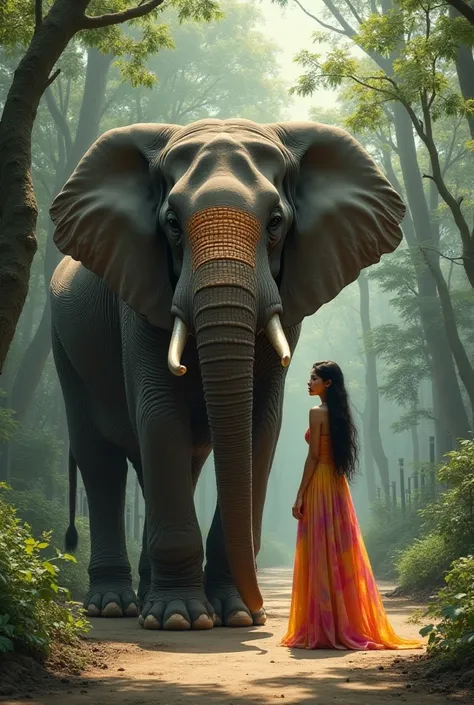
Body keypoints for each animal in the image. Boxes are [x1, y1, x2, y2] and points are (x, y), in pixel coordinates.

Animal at [47, 118, 404, 628]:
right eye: (171, 224)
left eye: (275, 223)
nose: (262, 612)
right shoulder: (139, 298)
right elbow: (161, 414)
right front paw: (181, 619)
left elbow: (261, 425)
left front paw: (231, 615)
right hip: (64, 347)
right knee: (102, 460)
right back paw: (114, 606)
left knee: (172, 464)